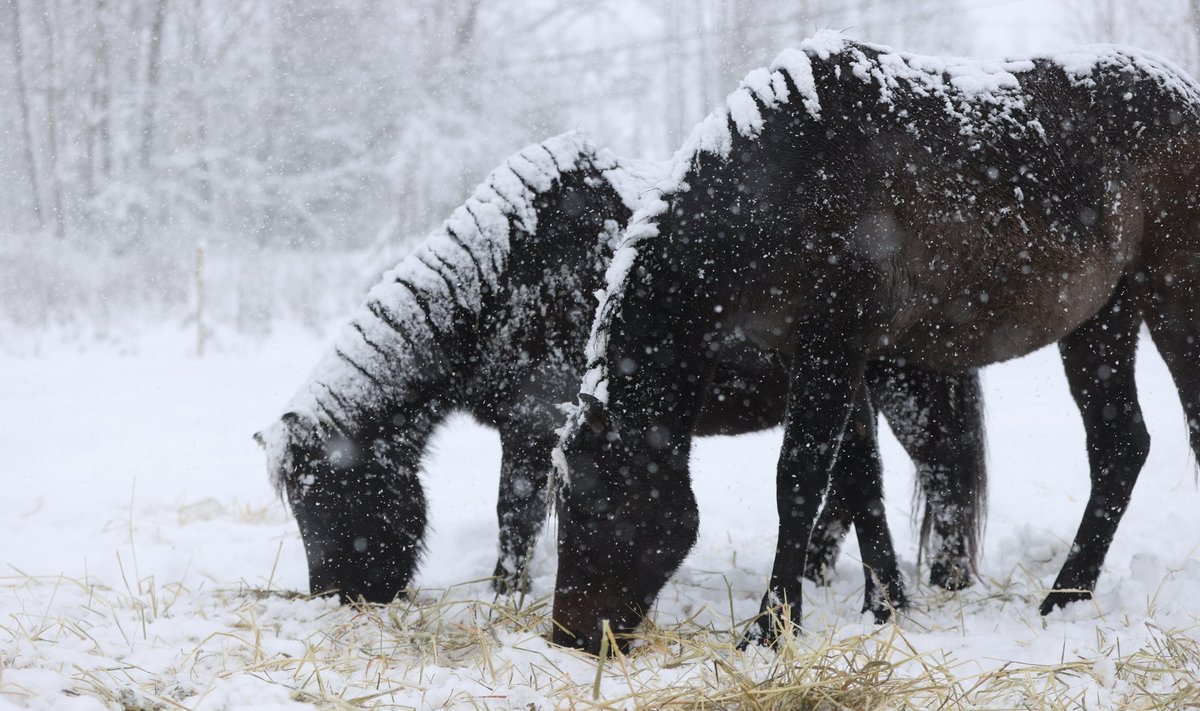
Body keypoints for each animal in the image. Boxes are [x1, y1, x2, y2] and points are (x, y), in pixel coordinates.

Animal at [253, 129, 984, 605]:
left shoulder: (533, 424)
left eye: (330, 495)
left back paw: (943, 583)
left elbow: (515, 513)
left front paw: (505, 596)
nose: (336, 596)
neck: (505, 272)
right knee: (852, 485)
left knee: (941, 475)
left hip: (908, 389)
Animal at [552, 33, 1200, 653]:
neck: (788, 179)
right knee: (1119, 448)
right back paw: (1064, 599)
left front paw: (771, 628)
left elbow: (798, 480)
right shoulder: (834, 358)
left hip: (1172, 302)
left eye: (593, 504)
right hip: (1099, 322)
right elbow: (861, 478)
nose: (569, 637)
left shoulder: (832, 346)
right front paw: (886, 606)